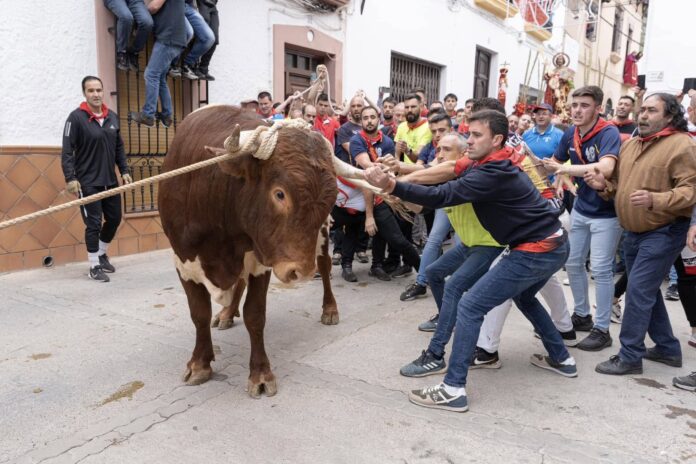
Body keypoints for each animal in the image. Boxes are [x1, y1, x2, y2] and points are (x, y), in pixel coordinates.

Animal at [161, 105, 340, 396]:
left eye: (331, 198)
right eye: (280, 194)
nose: (299, 272)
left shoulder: (260, 261)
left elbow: (255, 315)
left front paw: (260, 374)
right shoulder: (183, 261)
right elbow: (199, 314)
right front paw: (199, 364)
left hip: (321, 236)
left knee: (324, 267)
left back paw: (330, 309)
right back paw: (226, 313)